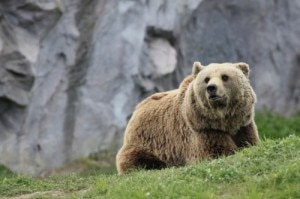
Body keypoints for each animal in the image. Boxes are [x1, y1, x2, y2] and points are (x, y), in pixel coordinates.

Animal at [116, 61, 258, 173]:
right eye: (206, 79)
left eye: (225, 77)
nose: (211, 88)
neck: (224, 119)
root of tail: (137, 108)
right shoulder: (204, 129)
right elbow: (217, 151)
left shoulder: (243, 125)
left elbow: (249, 142)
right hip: (145, 141)